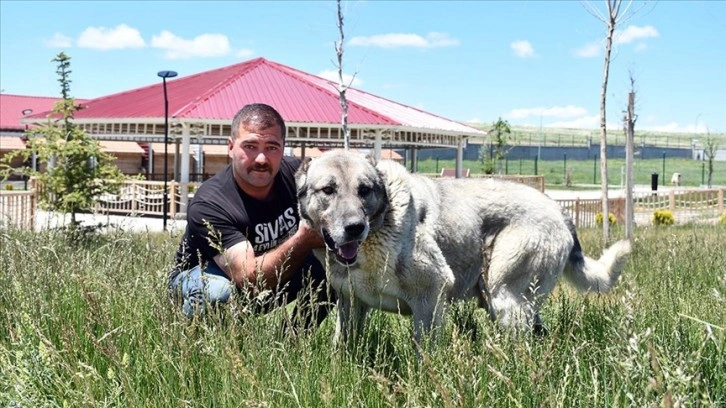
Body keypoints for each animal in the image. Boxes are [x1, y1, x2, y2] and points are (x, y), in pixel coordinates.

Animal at [296, 150, 632, 344]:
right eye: (328, 190)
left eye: (364, 190)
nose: (355, 227)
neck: (379, 226)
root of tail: (559, 210)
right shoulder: (351, 304)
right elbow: (343, 346)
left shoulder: (430, 297)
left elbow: (423, 352)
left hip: (506, 298)